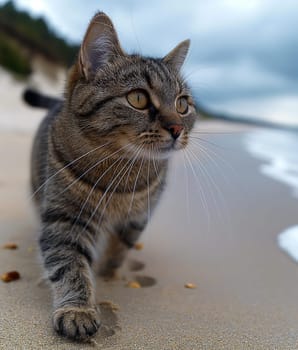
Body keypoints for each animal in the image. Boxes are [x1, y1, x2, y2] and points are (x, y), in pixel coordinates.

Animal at [24, 11, 197, 342]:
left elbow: (121, 246)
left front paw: (108, 273)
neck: (125, 170)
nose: (177, 128)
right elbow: (70, 264)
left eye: (182, 104)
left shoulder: (139, 215)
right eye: (139, 98)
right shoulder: (65, 219)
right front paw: (77, 309)